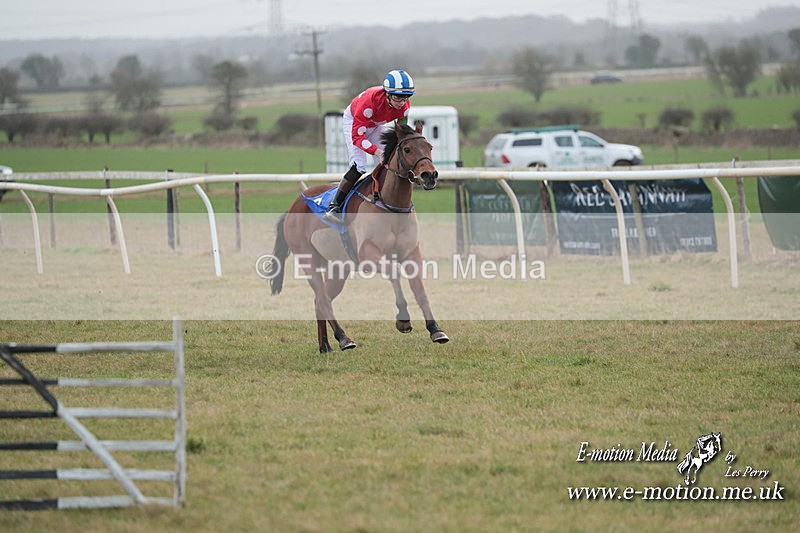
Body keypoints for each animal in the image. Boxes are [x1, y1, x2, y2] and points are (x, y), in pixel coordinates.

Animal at [267, 121, 449, 353]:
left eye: (430, 147)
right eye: (408, 149)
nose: (429, 176)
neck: (391, 205)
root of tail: (293, 206)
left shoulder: (411, 253)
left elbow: (420, 290)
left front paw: (435, 329)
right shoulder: (368, 254)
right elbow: (394, 273)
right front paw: (403, 319)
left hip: (338, 268)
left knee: (320, 300)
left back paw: (325, 346)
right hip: (308, 260)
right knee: (323, 299)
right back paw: (343, 338)